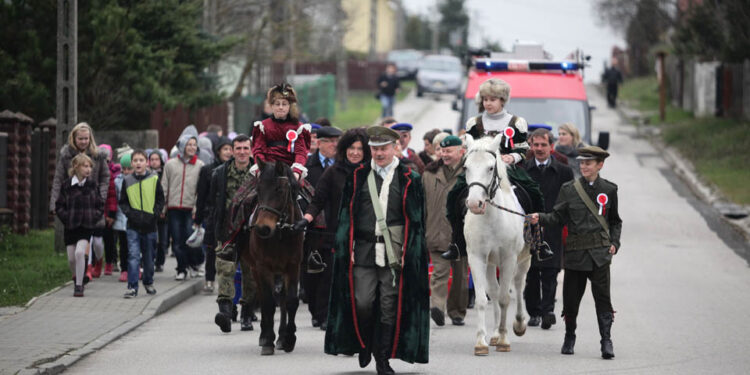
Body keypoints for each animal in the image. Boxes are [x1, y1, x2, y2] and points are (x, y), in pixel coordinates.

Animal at [245, 159, 306, 356]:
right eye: (259, 189)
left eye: (279, 190)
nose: (263, 228)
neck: (280, 231)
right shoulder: (263, 267)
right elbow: (268, 303)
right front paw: (268, 341)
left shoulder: (293, 266)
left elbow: (291, 301)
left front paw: (288, 339)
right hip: (255, 269)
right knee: (264, 296)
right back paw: (265, 336)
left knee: (282, 298)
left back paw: (281, 337)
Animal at [462, 134, 532, 356]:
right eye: (466, 167)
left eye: (490, 167)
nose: (475, 204)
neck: (491, 218)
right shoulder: (477, 258)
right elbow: (483, 299)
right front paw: (481, 342)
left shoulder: (509, 258)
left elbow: (504, 299)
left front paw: (504, 339)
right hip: (491, 263)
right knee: (493, 291)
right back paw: (492, 334)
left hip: (523, 259)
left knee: (518, 285)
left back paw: (518, 324)